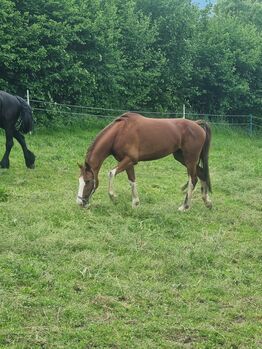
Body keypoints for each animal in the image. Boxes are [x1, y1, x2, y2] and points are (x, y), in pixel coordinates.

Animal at [77, 112, 212, 209]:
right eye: (79, 180)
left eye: (88, 181)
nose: (80, 202)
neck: (120, 132)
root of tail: (196, 124)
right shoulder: (128, 162)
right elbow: (132, 181)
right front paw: (135, 203)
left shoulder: (129, 159)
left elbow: (111, 173)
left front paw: (113, 197)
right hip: (182, 158)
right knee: (202, 174)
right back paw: (207, 202)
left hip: (190, 159)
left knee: (193, 180)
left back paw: (185, 206)